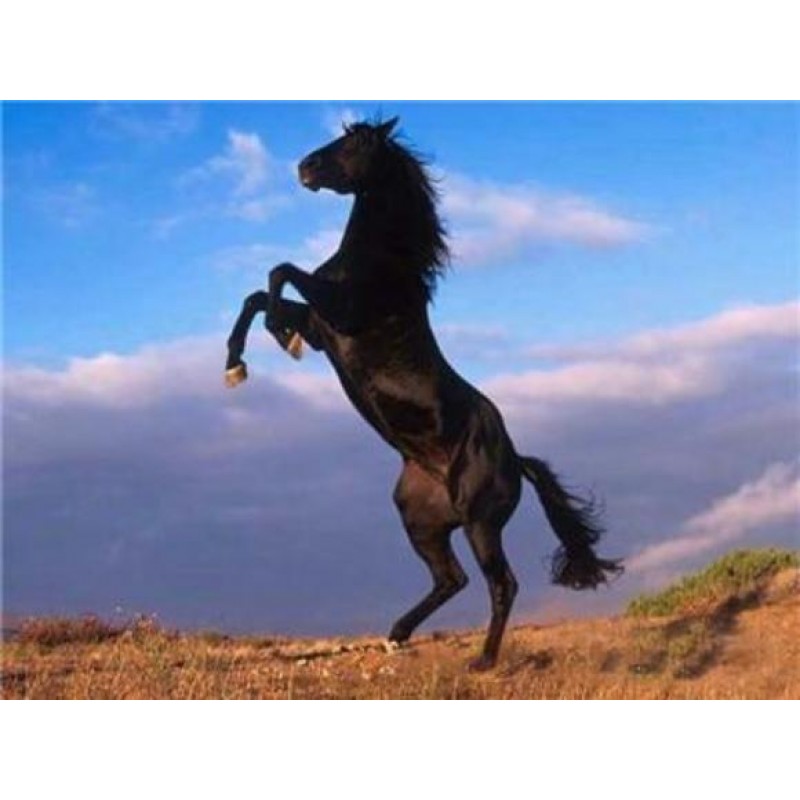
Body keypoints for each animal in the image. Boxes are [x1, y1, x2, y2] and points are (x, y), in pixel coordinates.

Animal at [224, 117, 622, 671]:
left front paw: (276, 338)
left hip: (479, 522)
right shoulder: (325, 328)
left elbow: (279, 273)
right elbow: (258, 296)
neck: (381, 263)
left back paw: (483, 660)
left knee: (501, 583)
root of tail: (516, 458)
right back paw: (397, 634)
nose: (304, 167)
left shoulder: (340, 312)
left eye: (355, 142)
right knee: (451, 579)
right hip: (420, 519)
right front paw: (237, 363)